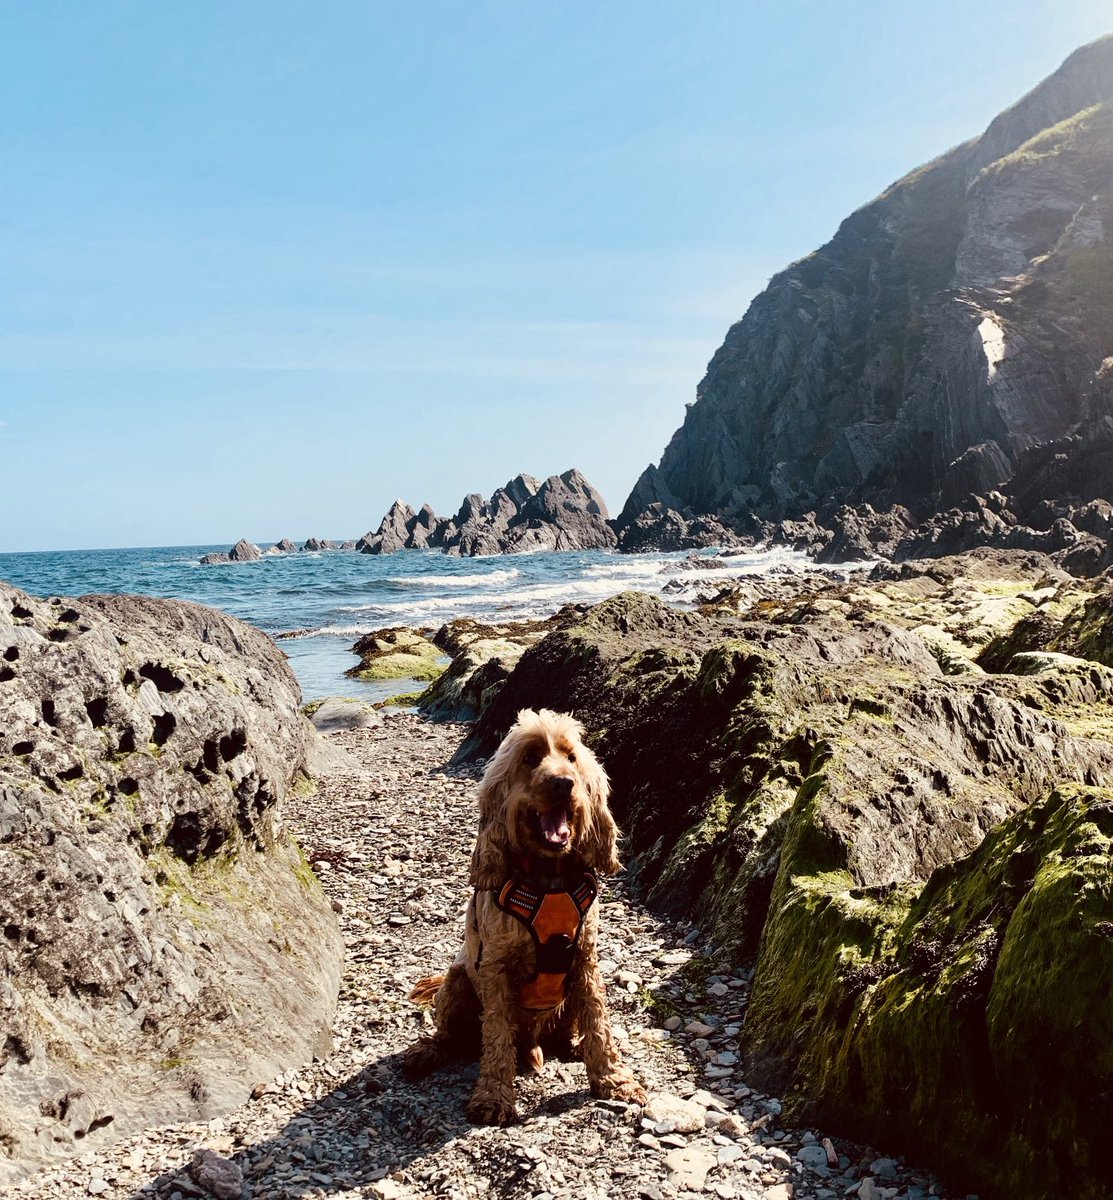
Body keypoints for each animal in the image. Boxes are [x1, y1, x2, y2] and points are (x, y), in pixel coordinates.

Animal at [405, 705, 647, 1118]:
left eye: (571, 757)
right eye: (530, 758)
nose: (564, 783)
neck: (548, 878)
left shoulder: (585, 962)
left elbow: (599, 1023)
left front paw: (615, 1081)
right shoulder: (496, 969)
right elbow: (497, 1034)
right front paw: (492, 1096)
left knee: (569, 1031)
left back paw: (572, 1046)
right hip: (457, 982)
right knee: (449, 1035)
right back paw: (426, 1052)